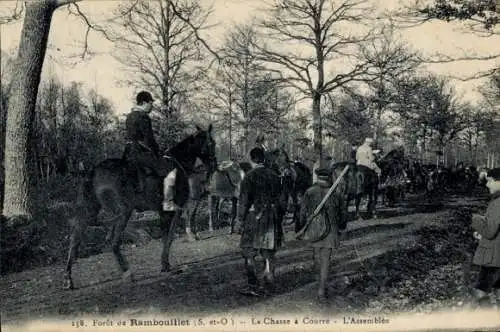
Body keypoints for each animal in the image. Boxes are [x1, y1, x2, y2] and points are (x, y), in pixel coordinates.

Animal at [63, 126, 217, 290]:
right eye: (211, 143)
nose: (213, 166)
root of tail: (93, 172)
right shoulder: (170, 212)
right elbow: (167, 238)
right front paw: (165, 264)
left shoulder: (169, 212)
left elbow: (168, 237)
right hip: (123, 212)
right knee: (112, 239)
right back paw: (127, 271)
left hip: (90, 212)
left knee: (75, 239)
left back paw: (68, 279)